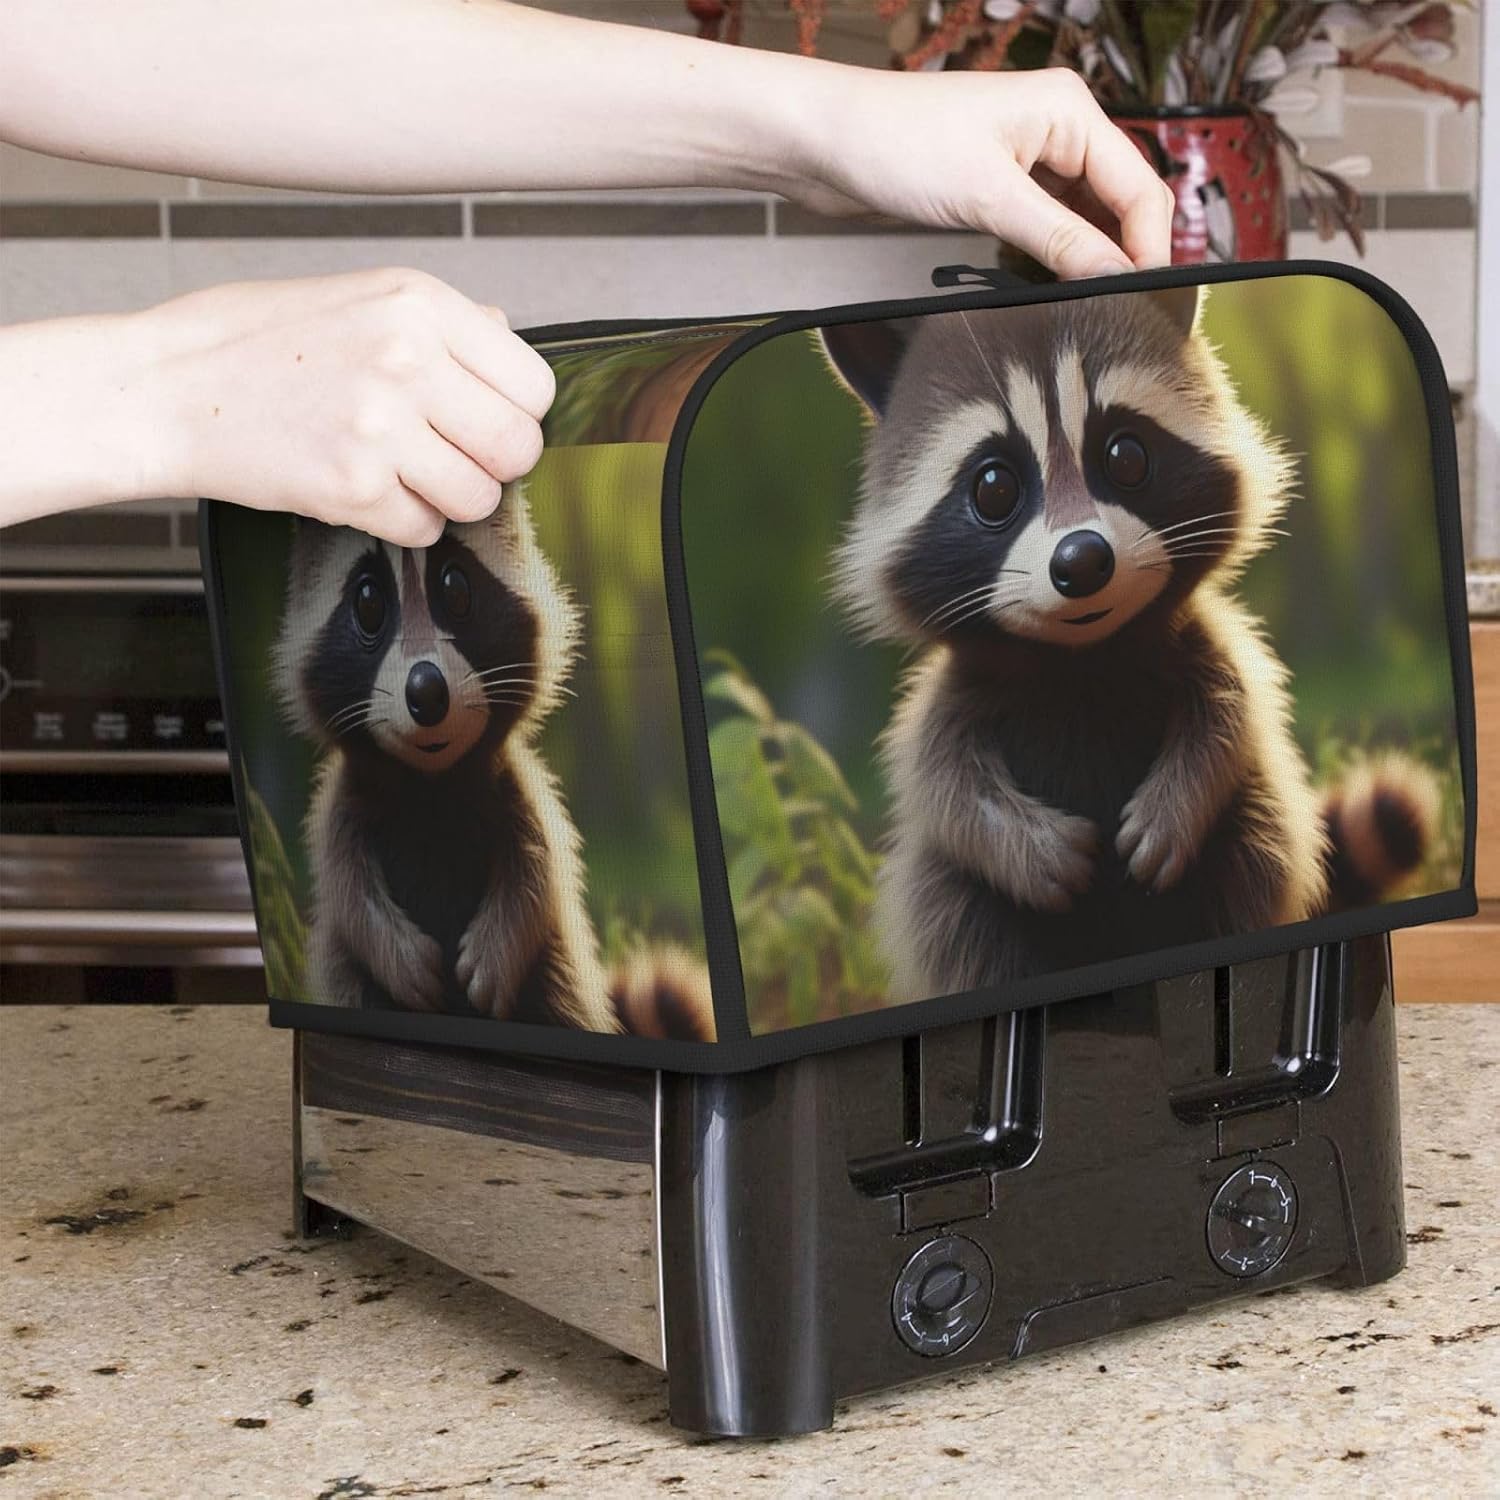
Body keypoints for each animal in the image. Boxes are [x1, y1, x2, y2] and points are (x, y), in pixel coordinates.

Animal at [273, 490, 715, 1040]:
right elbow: (343, 882)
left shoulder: (518, 785)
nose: (427, 691)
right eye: (369, 603)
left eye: (456, 588)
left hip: (552, 979)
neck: (432, 783)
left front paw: (497, 949)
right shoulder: (344, 801)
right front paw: (392, 949)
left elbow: (539, 865)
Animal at [822, 288, 1429, 1001]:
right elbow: (939, 777)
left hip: (1243, 844)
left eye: (1126, 457)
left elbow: (1231, 713)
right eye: (994, 487)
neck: (1084, 657)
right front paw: (1024, 844)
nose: (1082, 561)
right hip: (959, 905)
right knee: (963, 923)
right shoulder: (957, 691)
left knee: (1251, 855)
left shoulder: (1201, 642)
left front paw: (1176, 805)